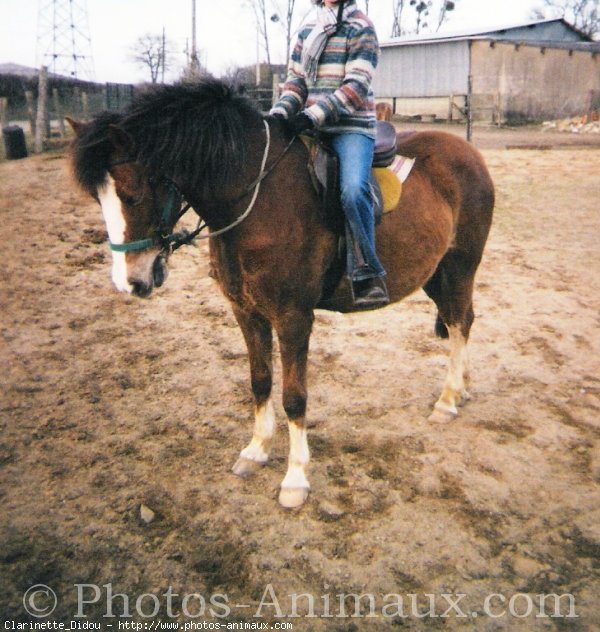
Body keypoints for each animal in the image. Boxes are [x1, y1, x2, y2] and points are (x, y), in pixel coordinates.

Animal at [68, 79, 494, 508]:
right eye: (99, 199)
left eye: (133, 194)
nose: (130, 282)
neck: (257, 198)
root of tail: (468, 152)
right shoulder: (246, 311)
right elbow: (259, 381)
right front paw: (256, 450)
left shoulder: (293, 318)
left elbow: (294, 396)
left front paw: (295, 478)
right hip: (435, 272)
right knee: (461, 321)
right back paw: (462, 389)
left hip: (460, 266)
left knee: (459, 322)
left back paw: (447, 400)